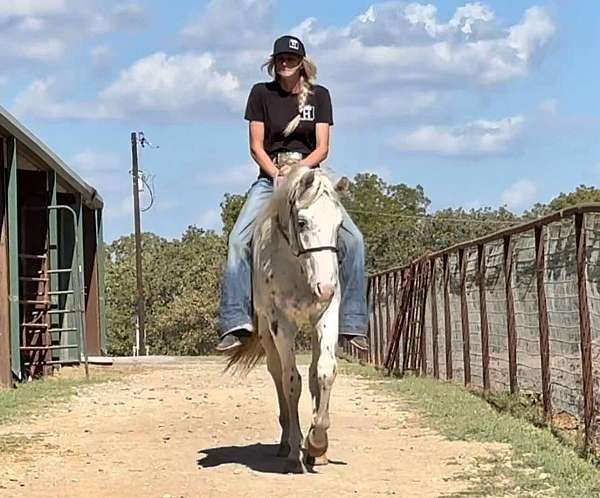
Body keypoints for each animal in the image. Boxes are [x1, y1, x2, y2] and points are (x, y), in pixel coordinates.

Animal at [229, 165, 342, 472]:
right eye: (301, 222)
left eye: (339, 225)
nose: (326, 287)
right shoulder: (282, 324)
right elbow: (292, 381)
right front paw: (296, 448)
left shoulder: (326, 314)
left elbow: (324, 371)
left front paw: (318, 442)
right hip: (267, 333)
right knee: (277, 373)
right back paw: (285, 444)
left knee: (314, 372)